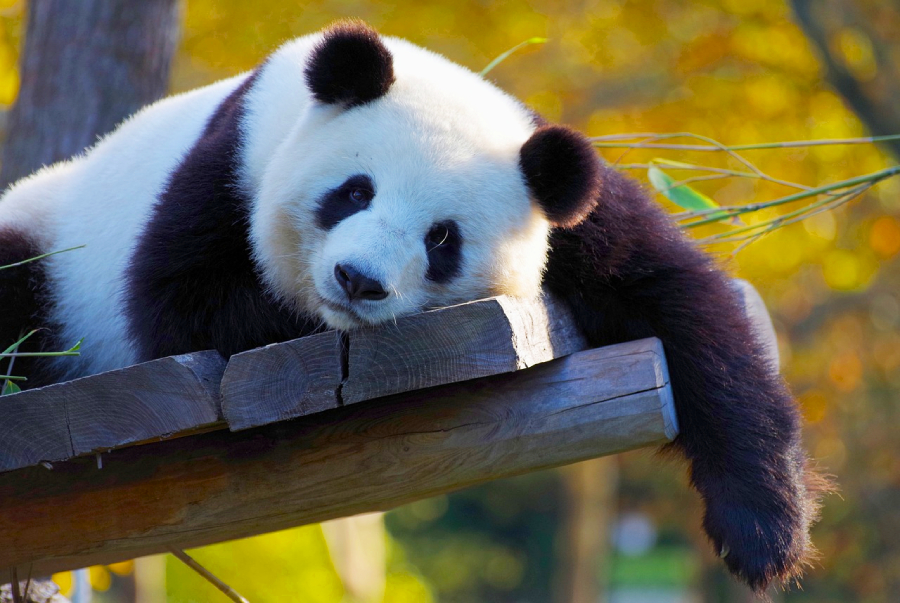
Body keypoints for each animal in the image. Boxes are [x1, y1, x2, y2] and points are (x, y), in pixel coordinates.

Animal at [0, 20, 825, 593]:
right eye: (353, 190)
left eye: (442, 239)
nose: (358, 280)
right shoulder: (229, 162)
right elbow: (182, 301)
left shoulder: (567, 204)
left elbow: (683, 303)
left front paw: (766, 532)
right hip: (50, 244)